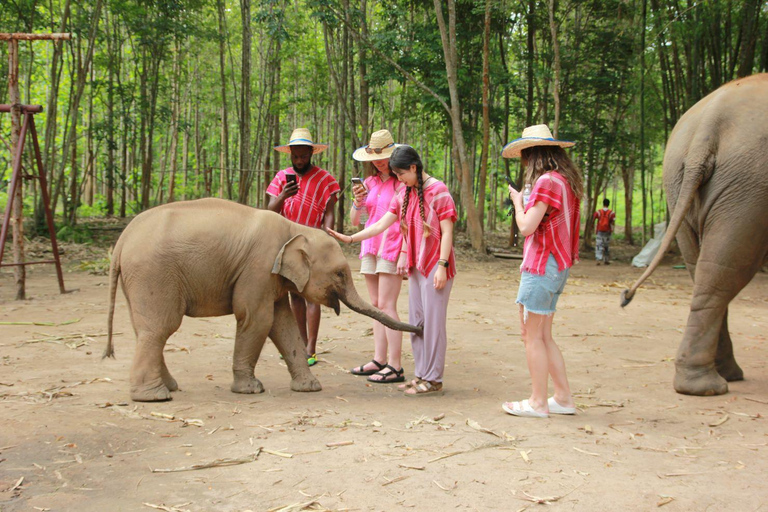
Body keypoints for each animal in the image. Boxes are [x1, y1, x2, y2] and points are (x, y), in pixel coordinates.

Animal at [102, 198, 420, 402]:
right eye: (340, 274)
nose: (421, 328)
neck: (294, 229)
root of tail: (121, 242)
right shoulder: (258, 267)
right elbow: (257, 319)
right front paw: (251, 389)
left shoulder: (272, 276)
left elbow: (283, 323)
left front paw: (310, 388)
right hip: (153, 274)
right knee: (159, 329)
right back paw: (154, 397)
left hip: (141, 279)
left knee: (146, 330)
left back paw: (169, 387)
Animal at [624, 74, 768, 398]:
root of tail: (708, 126)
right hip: (749, 188)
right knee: (725, 268)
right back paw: (708, 386)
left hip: (680, 183)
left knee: (704, 268)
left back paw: (721, 377)